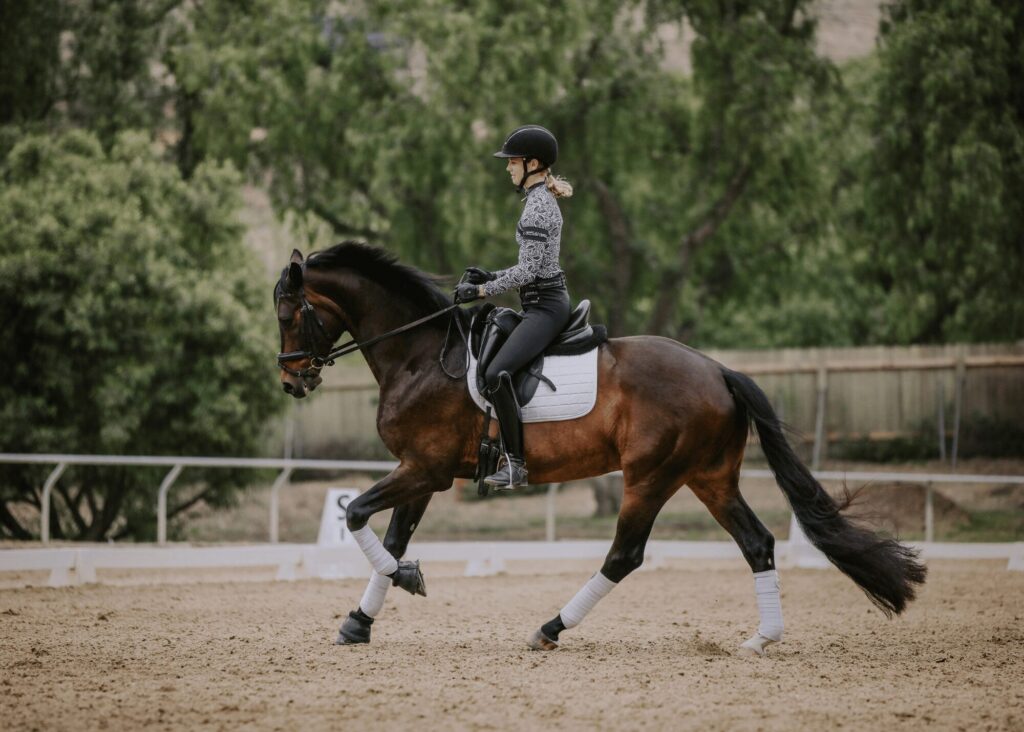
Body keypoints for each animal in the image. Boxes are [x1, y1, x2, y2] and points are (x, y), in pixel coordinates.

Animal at [274, 242, 926, 654]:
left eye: (287, 313)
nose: (291, 381)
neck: (420, 355)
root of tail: (717, 370)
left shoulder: (423, 469)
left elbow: (358, 515)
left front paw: (406, 583)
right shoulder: (422, 471)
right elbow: (390, 538)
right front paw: (359, 622)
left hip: (651, 478)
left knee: (624, 556)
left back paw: (549, 630)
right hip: (709, 477)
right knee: (757, 542)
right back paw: (762, 639)